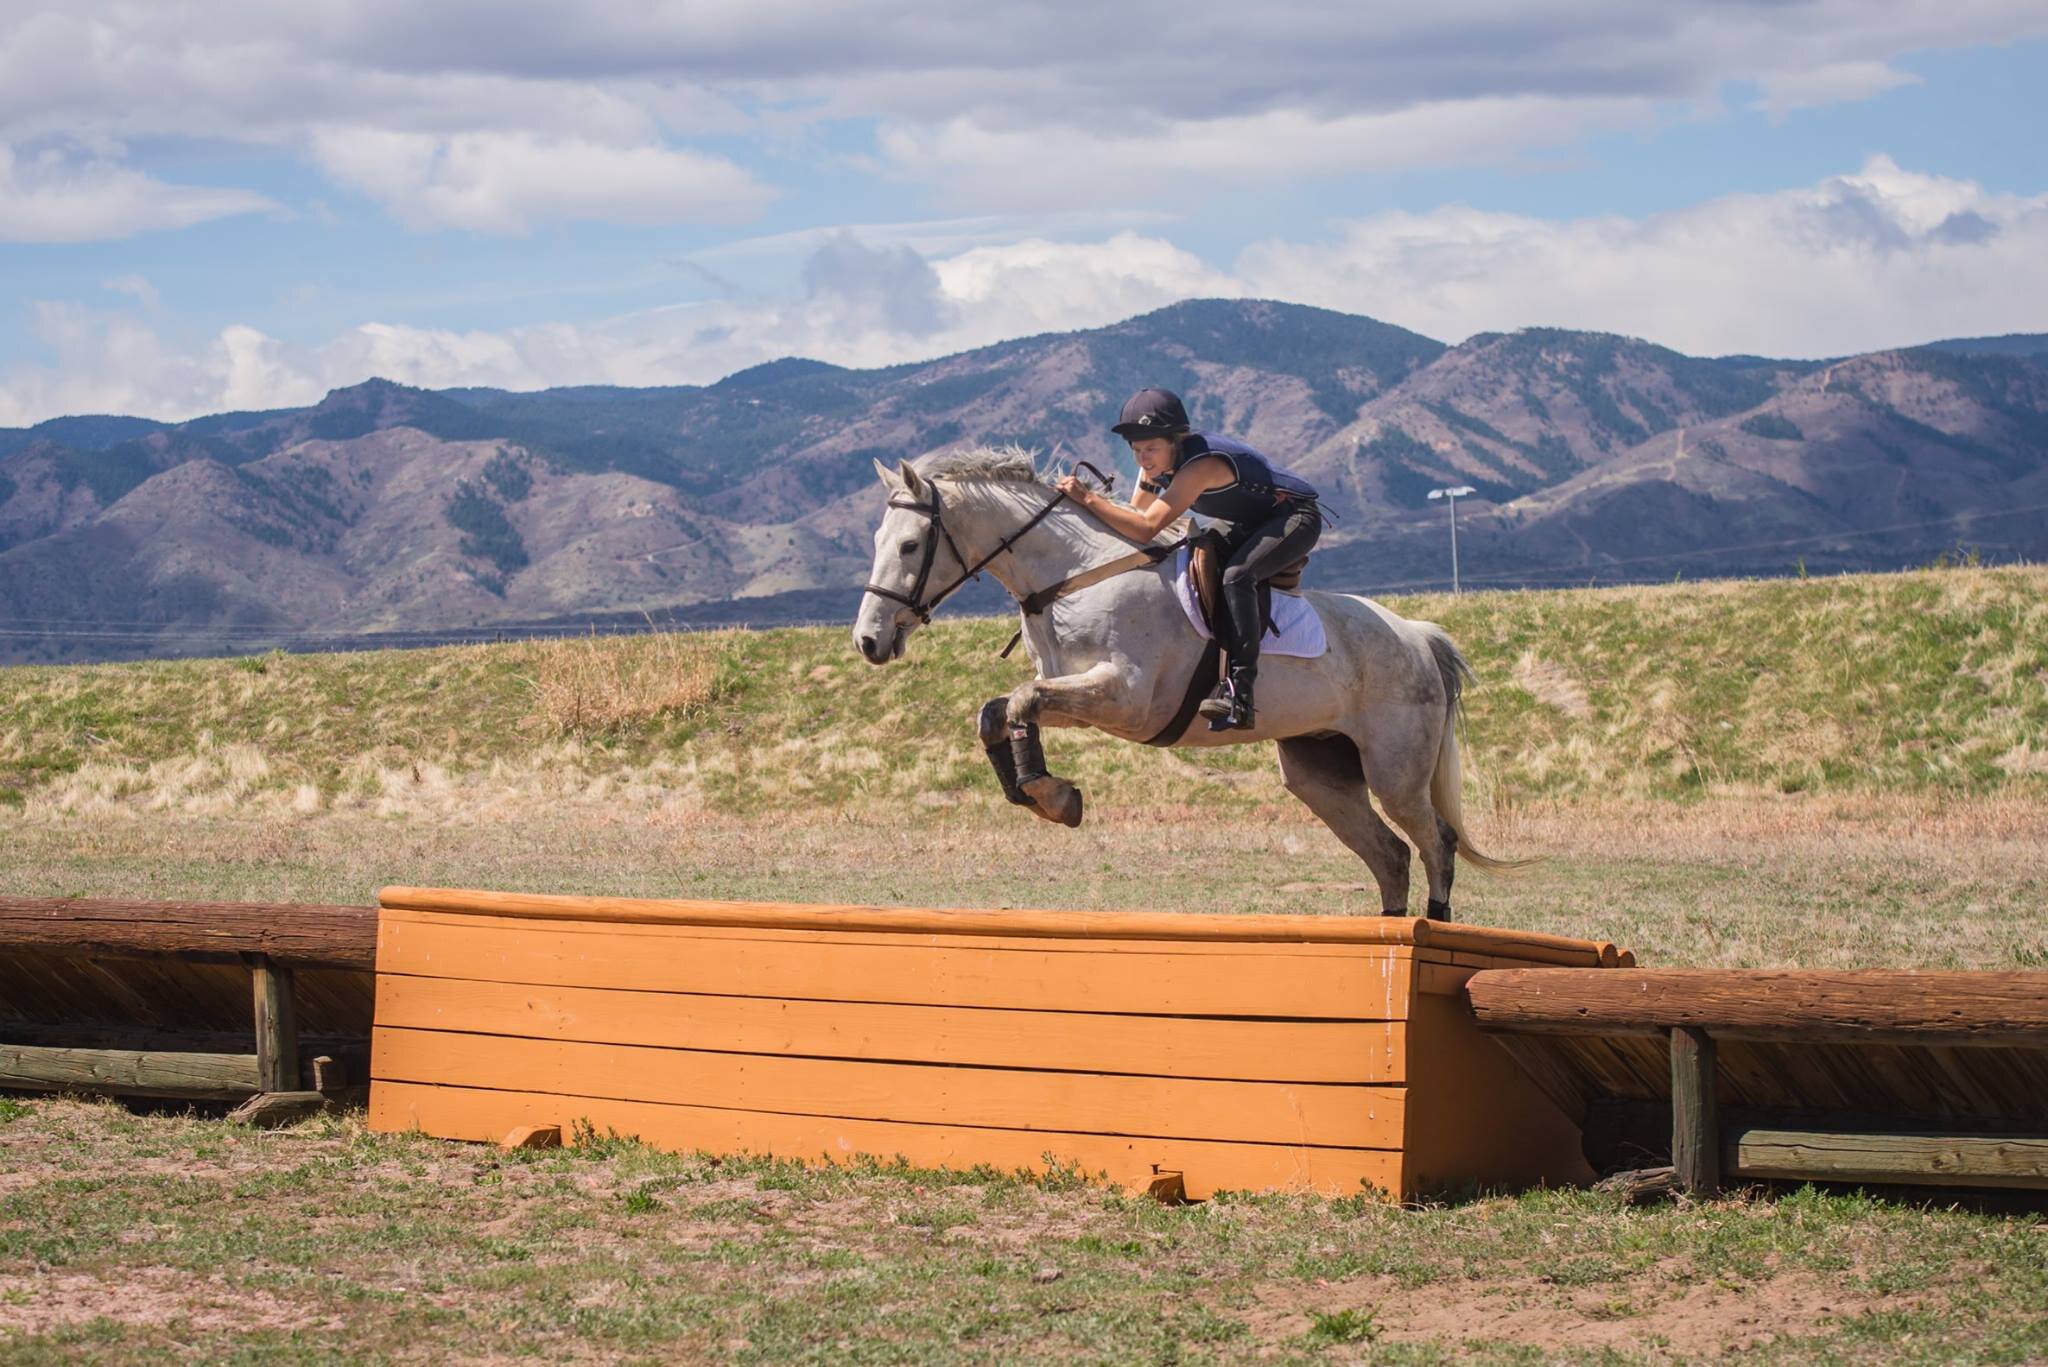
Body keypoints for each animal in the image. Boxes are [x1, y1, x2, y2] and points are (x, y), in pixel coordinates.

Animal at [847, 448, 1523, 918]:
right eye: (878, 541)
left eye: (910, 545)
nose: (869, 641)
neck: (1075, 574)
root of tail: (1418, 636)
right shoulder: (1077, 691)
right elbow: (999, 710)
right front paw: (1040, 793)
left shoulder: (1125, 697)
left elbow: (1019, 701)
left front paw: (1052, 795)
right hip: (1319, 773)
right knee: (1390, 855)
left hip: (1395, 769)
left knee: (1435, 843)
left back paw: (1432, 931)